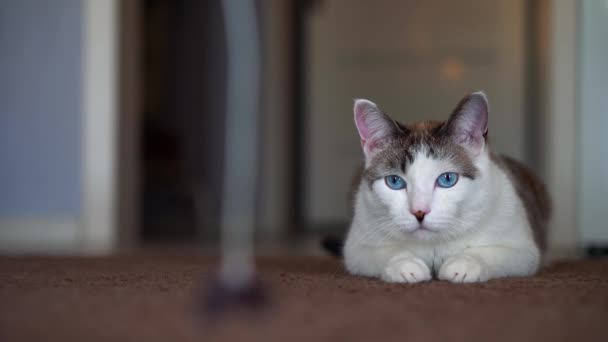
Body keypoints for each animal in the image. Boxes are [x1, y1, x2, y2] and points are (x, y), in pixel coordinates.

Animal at [342, 91, 552, 284]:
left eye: (447, 179)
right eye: (394, 181)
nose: (419, 212)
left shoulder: (523, 249)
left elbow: (493, 253)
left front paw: (464, 264)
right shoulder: (356, 247)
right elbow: (385, 252)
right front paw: (405, 265)